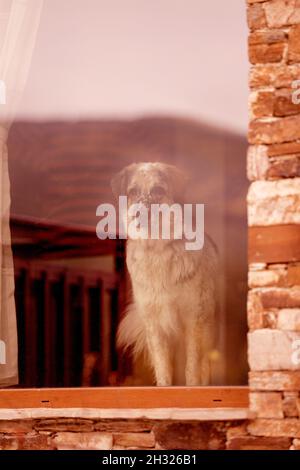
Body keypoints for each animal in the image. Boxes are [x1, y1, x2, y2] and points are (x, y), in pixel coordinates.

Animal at [111, 162, 219, 386]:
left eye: (158, 190)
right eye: (132, 192)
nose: (138, 214)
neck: (157, 250)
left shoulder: (194, 318)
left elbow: (193, 367)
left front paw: (193, 389)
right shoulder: (154, 322)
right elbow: (163, 368)